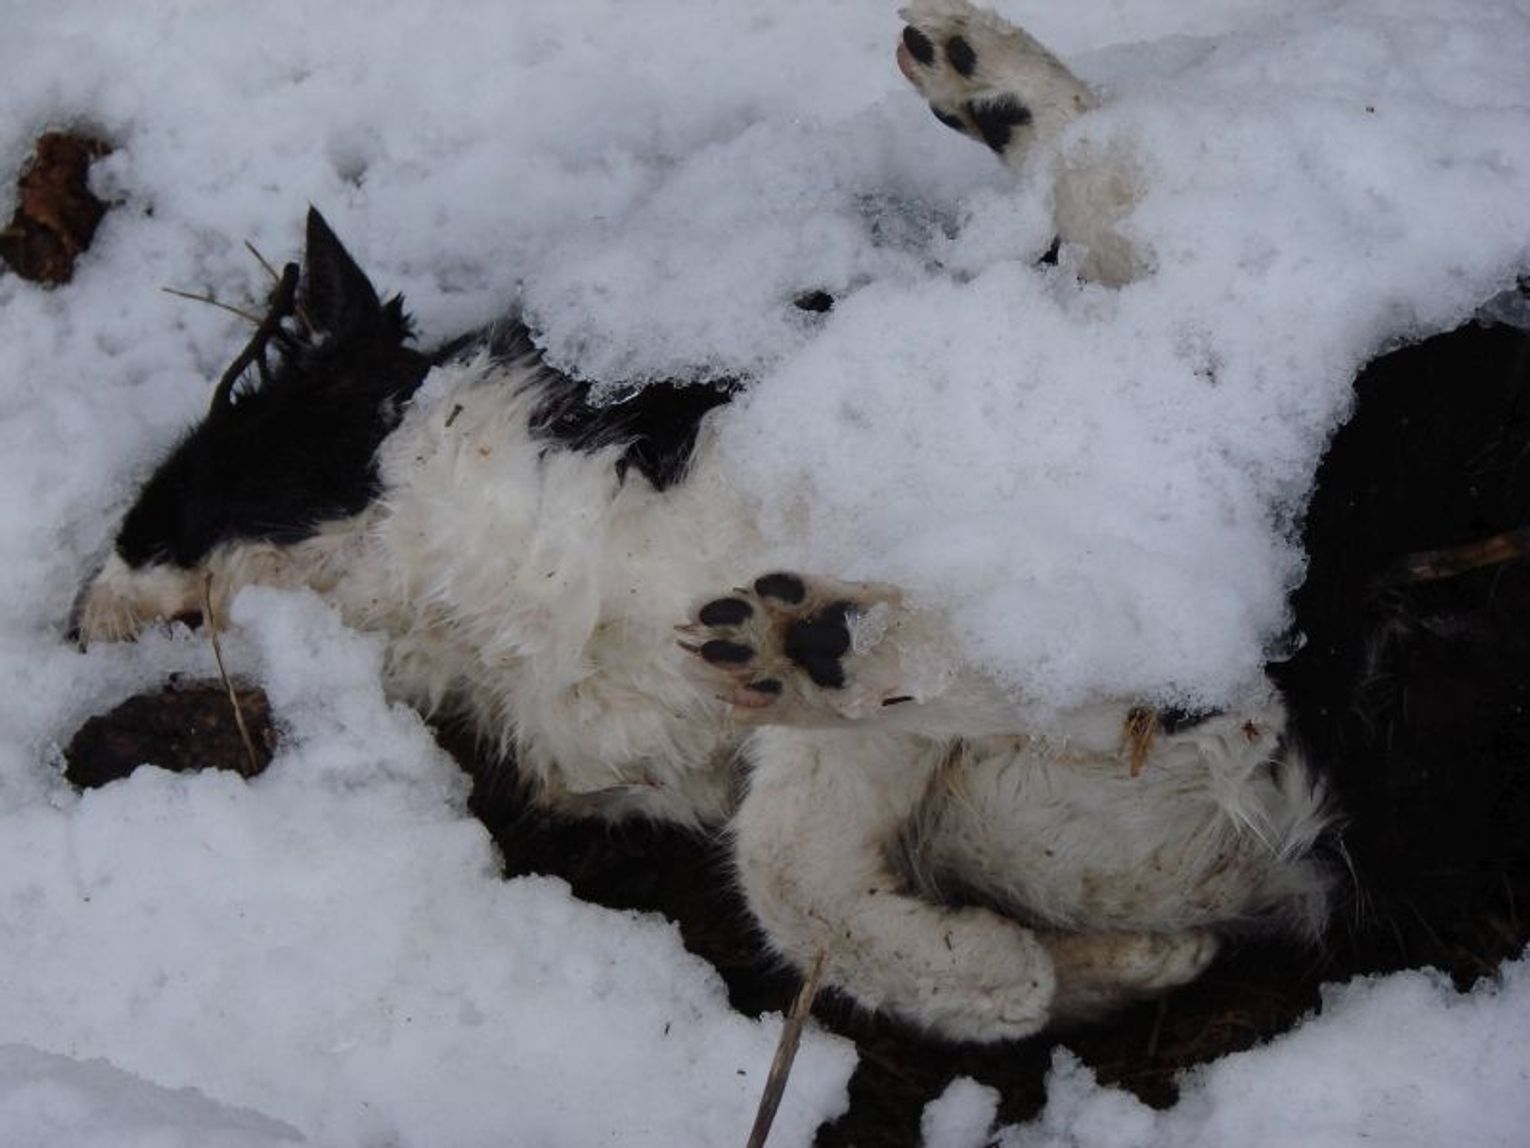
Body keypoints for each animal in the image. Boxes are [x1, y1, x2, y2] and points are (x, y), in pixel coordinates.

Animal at [73, 0, 1335, 1042]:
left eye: (158, 509)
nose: (74, 617)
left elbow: (800, 855)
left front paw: (999, 965)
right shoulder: (802, 747)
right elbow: (799, 865)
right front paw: (1061, 968)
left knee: (1134, 234)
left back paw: (981, 66)